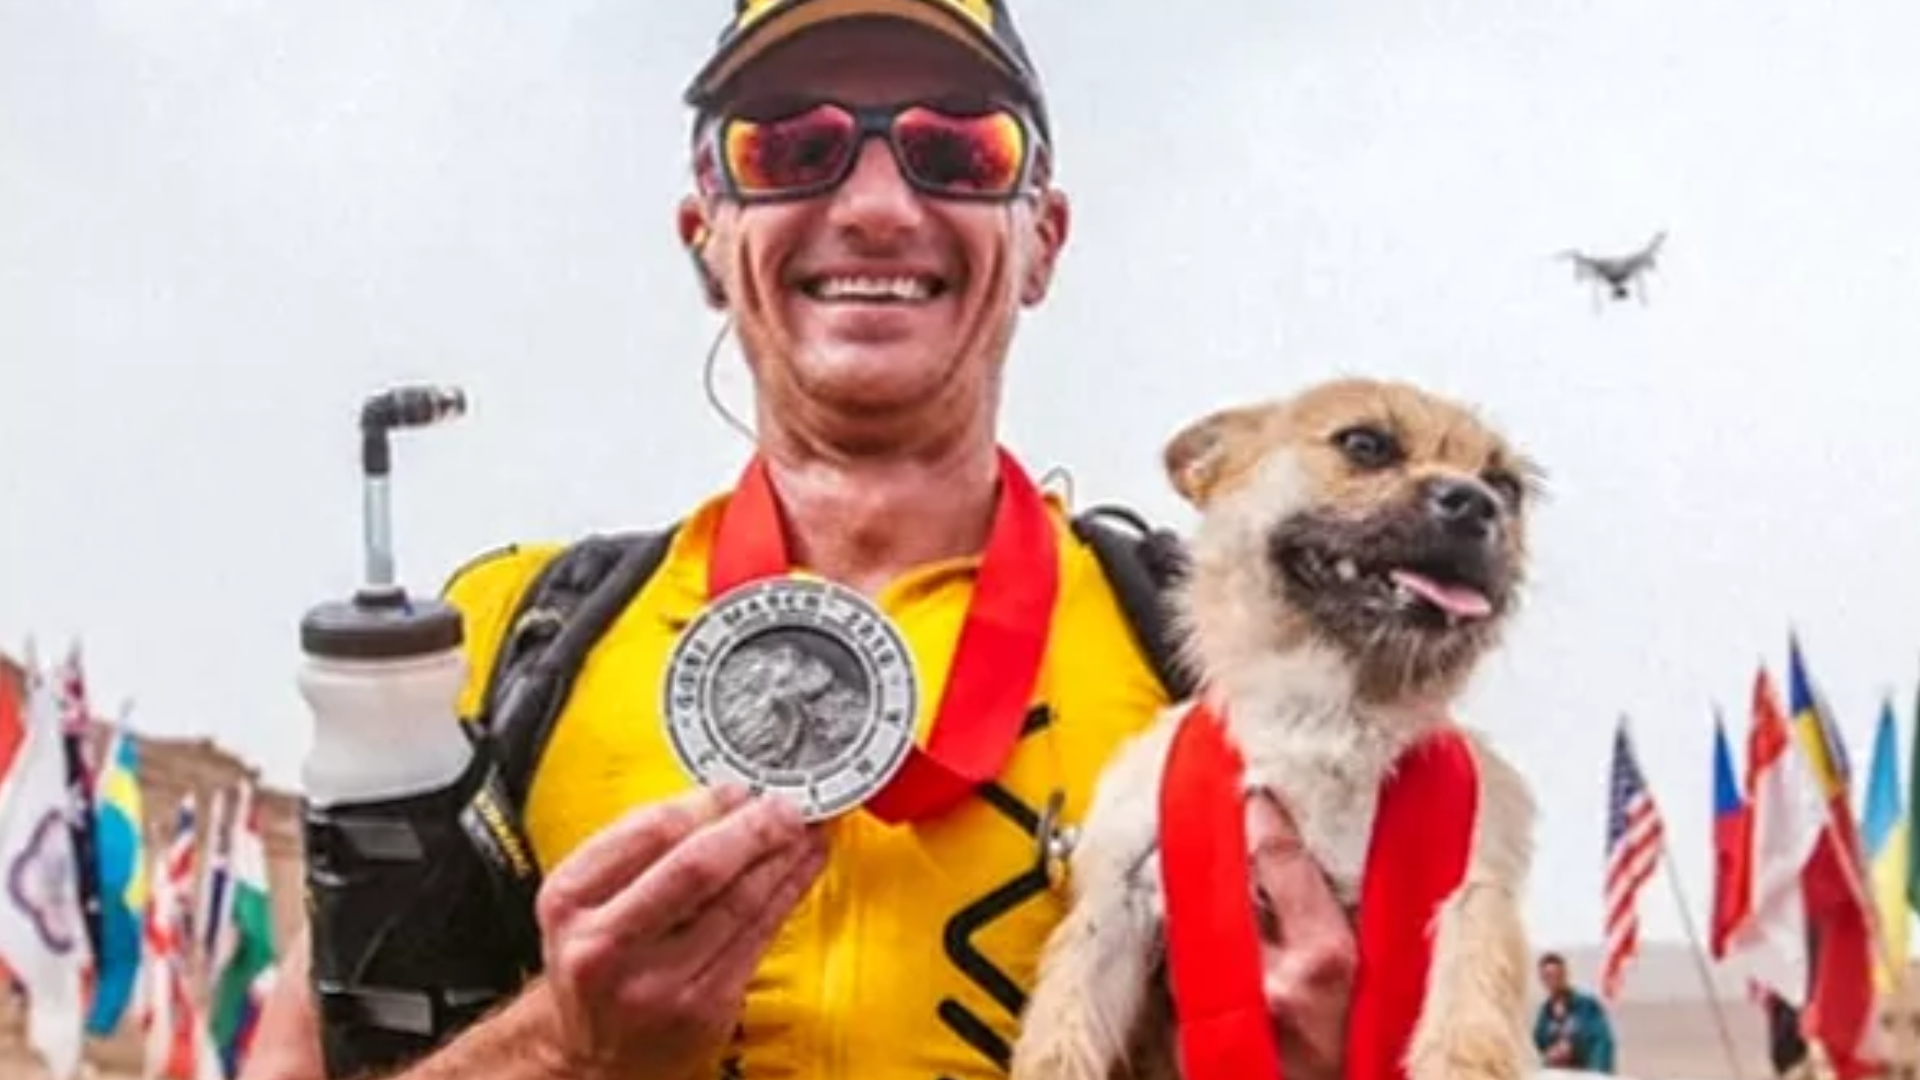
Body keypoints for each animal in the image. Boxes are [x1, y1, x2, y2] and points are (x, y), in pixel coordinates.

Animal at [1010, 377, 1542, 1080]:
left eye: (1506, 486)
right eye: (1365, 443)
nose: (1479, 504)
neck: (1325, 718)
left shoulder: (1474, 894)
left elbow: (1466, 1033)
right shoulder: (1115, 902)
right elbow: (1058, 1038)